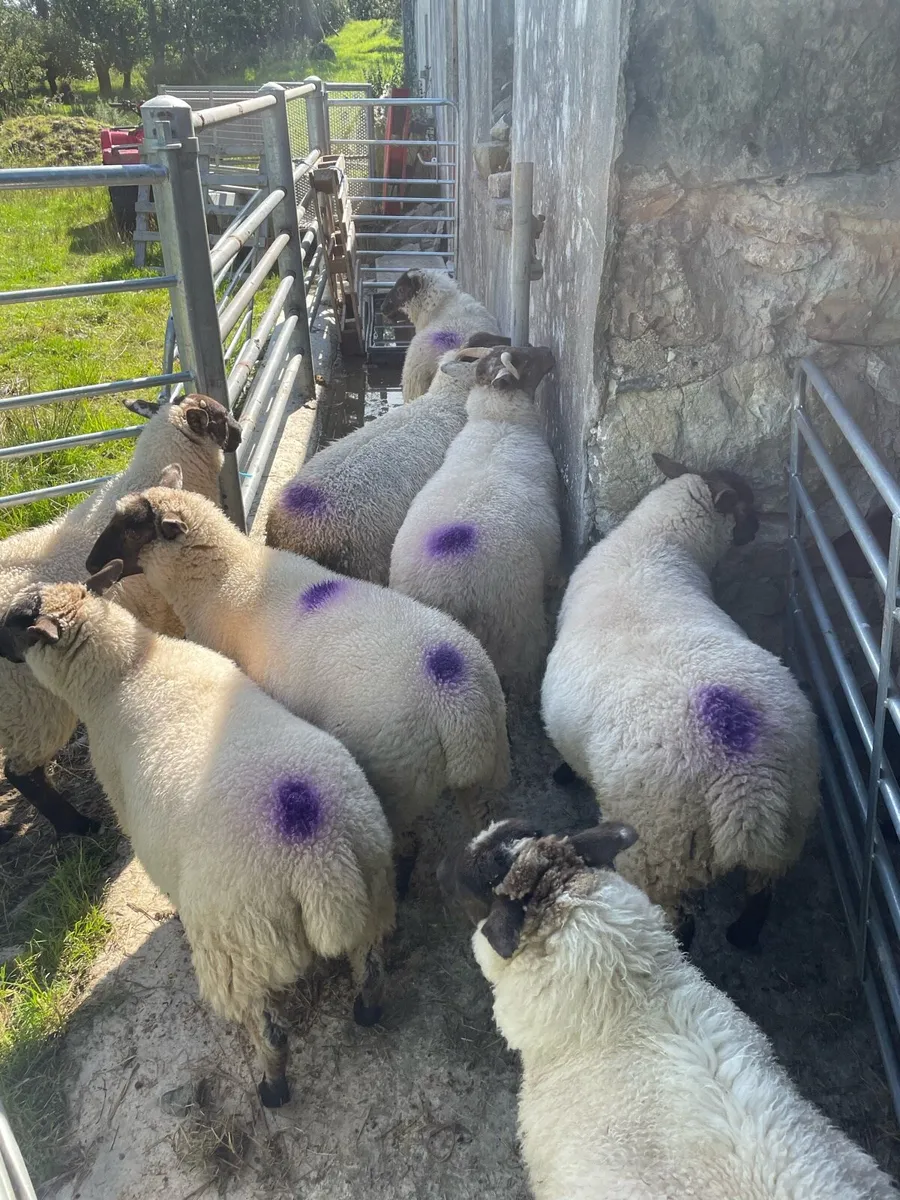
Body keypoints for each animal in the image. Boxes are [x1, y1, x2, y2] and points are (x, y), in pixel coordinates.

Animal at [0, 394, 240, 843]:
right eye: (220, 418)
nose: (238, 434)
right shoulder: (169, 610)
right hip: (30, 705)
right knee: (21, 772)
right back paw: (79, 826)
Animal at [0, 564, 396, 1108]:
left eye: (17, 622)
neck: (123, 673)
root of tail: (317, 853)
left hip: (238, 948)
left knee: (268, 1030)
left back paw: (271, 1088)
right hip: (372, 885)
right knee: (371, 966)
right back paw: (368, 1012)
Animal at [87, 475, 510, 890]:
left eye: (133, 528)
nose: (91, 565)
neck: (221, 577)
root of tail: (459, 701)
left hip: (399, 777)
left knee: (407, 844)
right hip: (486, 774)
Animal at [541, 452, 819, 950]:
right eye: (747, 505)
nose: (755, 530)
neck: (654, 544)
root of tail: (744, 778)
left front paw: (562, 775)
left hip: (660, 851)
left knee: (681, 923)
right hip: (791, 821)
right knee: (763, 888)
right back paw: (742, 936)